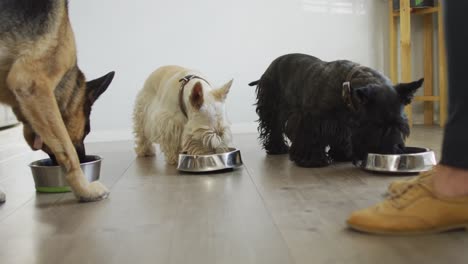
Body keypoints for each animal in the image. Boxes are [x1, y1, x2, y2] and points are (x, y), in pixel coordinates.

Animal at [249, 53, 424, 167]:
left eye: (402, 126)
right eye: (377, 126)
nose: (394, 150)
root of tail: (269, 67)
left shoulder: (343, 126)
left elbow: (341, 138)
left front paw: (342, 155)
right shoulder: (311, 120)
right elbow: (311, 139)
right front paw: (312, 160)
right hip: (272, 108)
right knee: (274, 128)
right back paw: (277, 148)